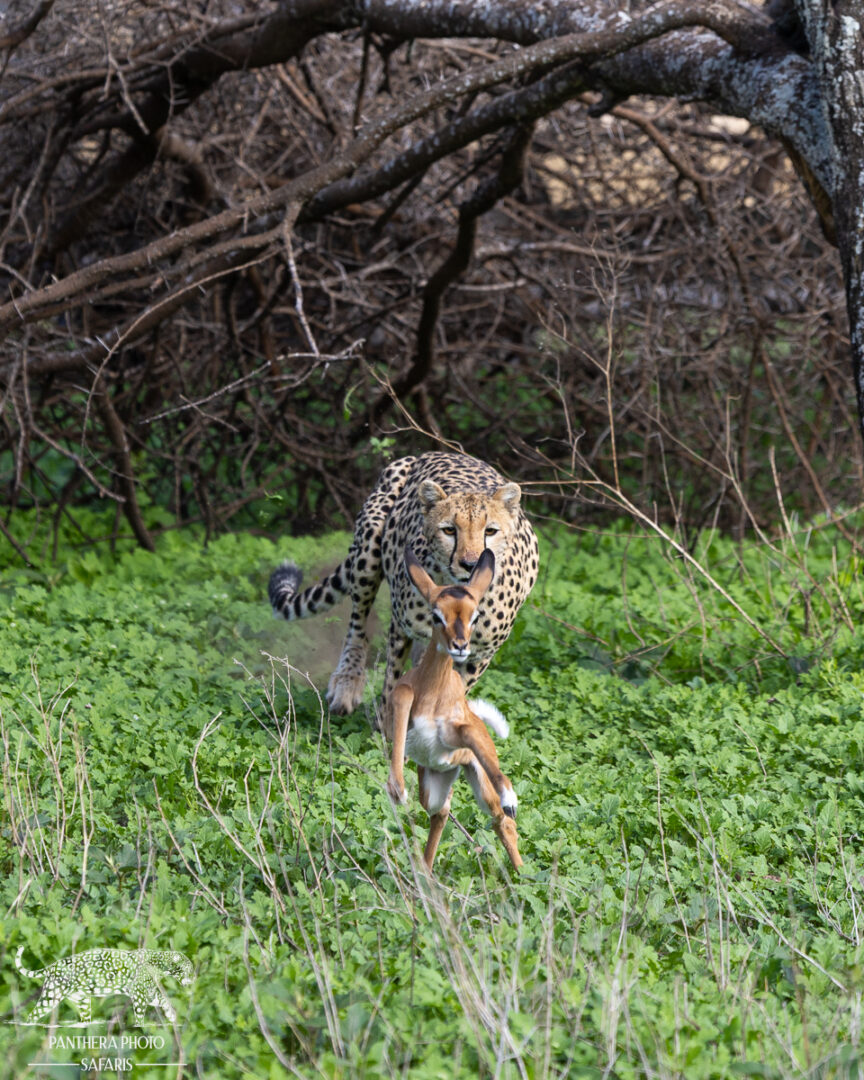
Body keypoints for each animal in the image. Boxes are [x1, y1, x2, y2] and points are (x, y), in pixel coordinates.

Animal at [15, 946, 194, 1026]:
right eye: (188, 970)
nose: (192, 981)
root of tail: (52, 966)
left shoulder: (147, 993)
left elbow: (163, 1000)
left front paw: (171, 1016)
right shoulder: (139, 994)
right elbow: (140, 1012)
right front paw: (140, 1027)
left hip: (82, 999)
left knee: (84, 1018)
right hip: (52, 995)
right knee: (33, 1015)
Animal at [268, 452, 539, 735]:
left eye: (490, 531)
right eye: (449, 530)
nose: (470, 563)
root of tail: (428, 453)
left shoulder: (479, 653)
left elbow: (454, 690)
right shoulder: (401, 628)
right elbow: (393, 683)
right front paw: (385, 732)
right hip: (369, 547)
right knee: (358, 623)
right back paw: (347, 684)